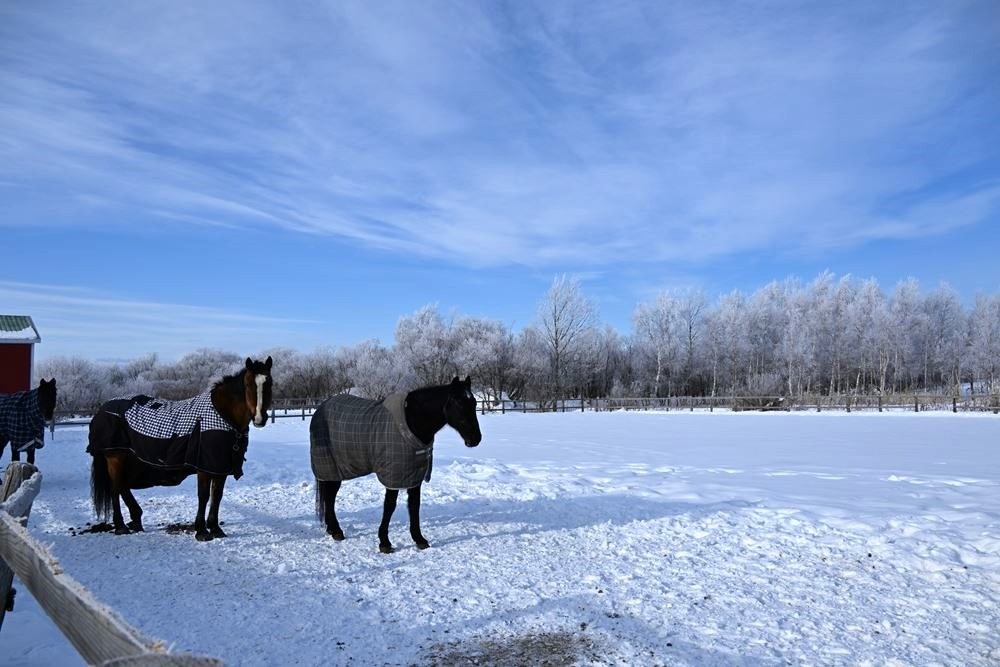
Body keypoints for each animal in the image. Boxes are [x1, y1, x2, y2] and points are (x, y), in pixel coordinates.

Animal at [86, 358, 272, 540]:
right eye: (248, 384)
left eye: (269, 382)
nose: (259, 418)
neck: (222, 414)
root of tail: (102, 409)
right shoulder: (204, 466)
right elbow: (203, 496)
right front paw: (201, 531)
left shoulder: (219, 467)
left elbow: (216, 496)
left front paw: (215, 529)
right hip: (115, 457)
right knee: (116, 488)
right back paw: (120, 526)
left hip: (130, 460)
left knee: (123, 486)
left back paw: (136, 520)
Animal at [312, 376, 484, 552]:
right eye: (458, 403)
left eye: (474, 403)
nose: (475, 439)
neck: (411, 422)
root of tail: (321, 408)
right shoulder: (393, 475)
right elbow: (389, 506)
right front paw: (384, 542)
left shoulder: (414, 476)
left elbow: (414, 506)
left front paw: (419, 539)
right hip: (331, 469)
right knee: (330, 497)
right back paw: (336, 531)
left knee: (329, 497)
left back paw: (332, 529)